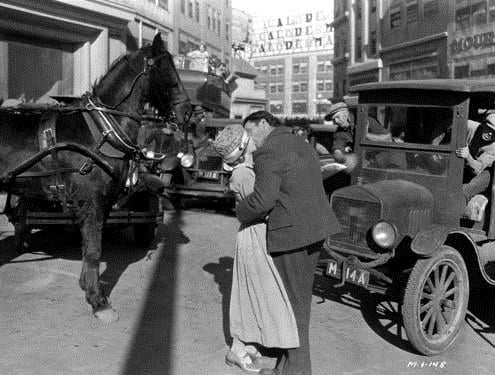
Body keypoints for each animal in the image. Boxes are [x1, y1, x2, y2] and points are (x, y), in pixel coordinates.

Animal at [0, 33, 192, 324]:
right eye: (164, 68)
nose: (189, 111)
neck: (102, 130)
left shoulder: (102, 203)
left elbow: (91, 246)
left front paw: (89, 287)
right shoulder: (91, 201)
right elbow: (93, 249)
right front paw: (98, 301)